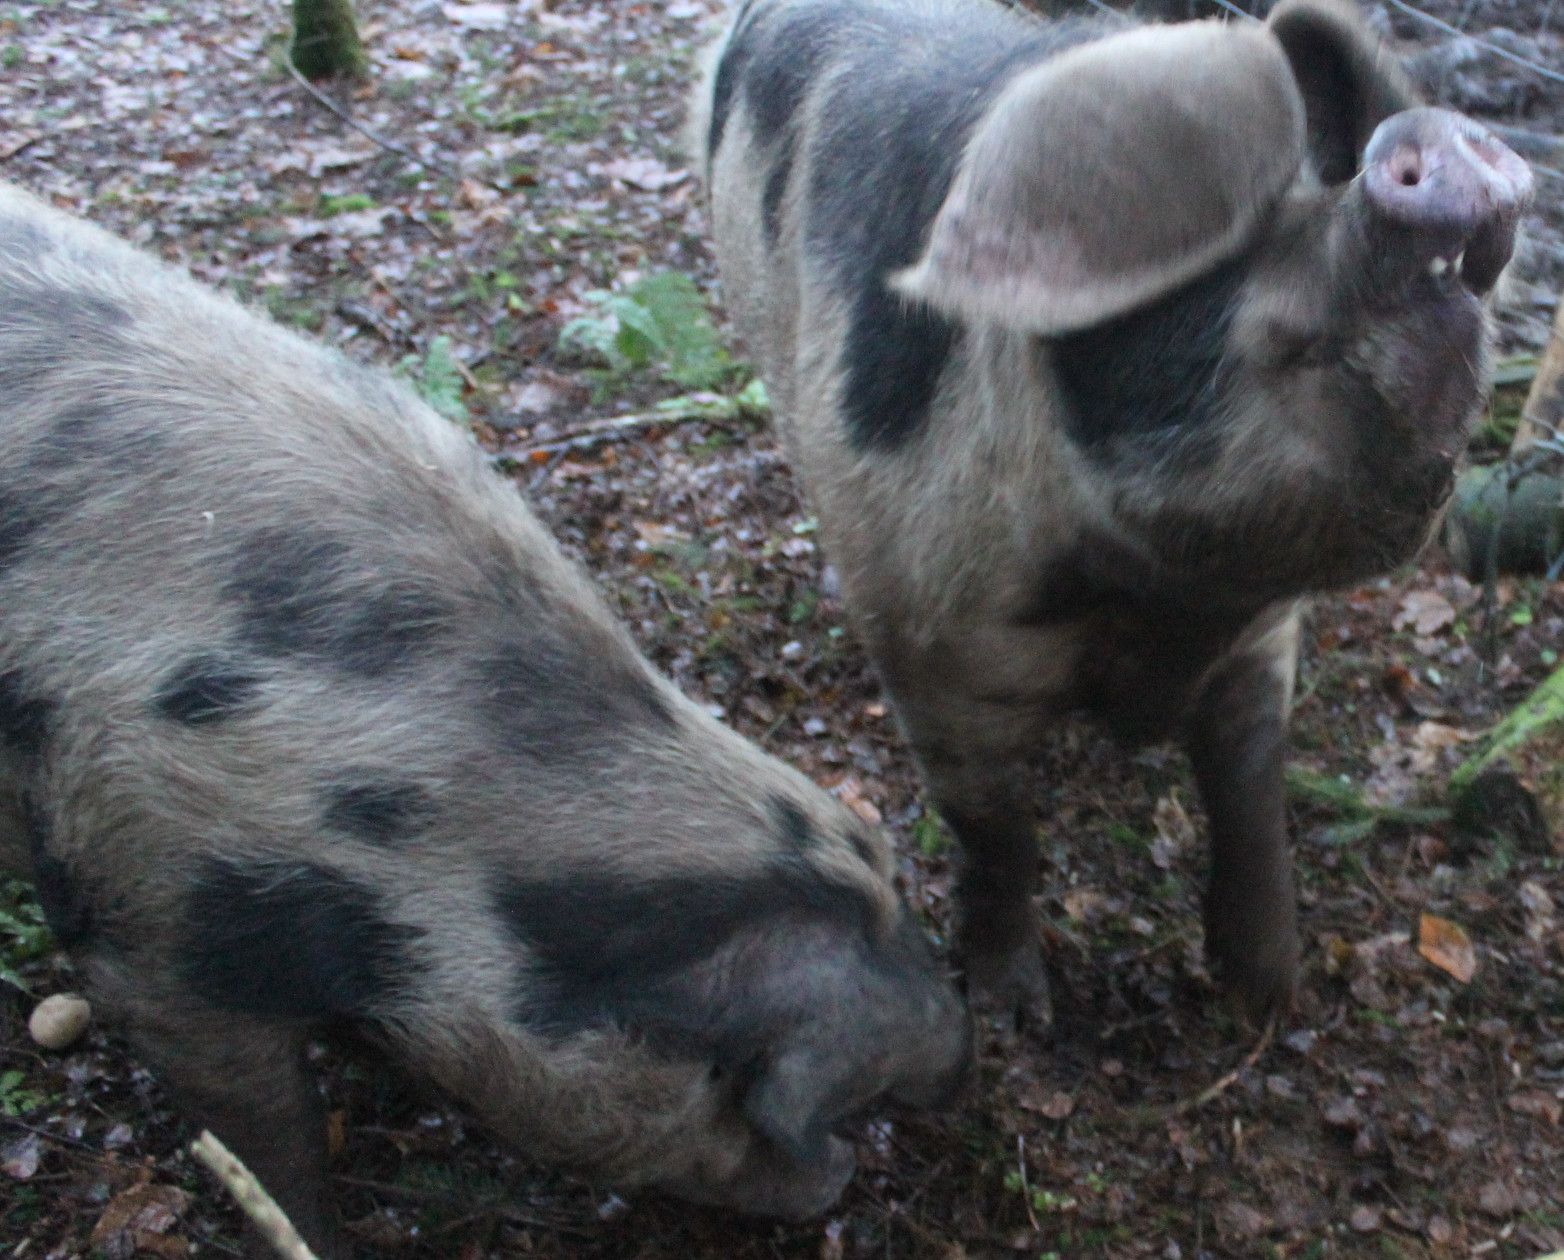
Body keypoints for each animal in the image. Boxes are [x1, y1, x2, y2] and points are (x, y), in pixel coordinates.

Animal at [695, 0, 1533, 1024]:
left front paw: (1269, 994)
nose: (1426, 132)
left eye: (1324, 173)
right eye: (1223, 239)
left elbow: (1250, 789)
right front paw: (1017, 1015)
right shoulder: (932, 644)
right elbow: (996, 830)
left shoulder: (1262, 634)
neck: (1163, 594)